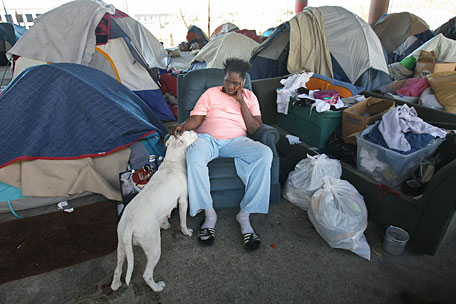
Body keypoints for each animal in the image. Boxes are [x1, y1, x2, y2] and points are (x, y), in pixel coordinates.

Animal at [110, 131, 198, 292]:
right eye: (188, 133)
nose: (195, 132)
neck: (172, 161)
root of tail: (129, 225)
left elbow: (164, 215)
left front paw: (165, 224)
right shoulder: (183, 200)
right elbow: (183, 221)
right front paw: (187, 232)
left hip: (122, 245)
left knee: (118, 269)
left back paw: (116, 284)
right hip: (154, 247)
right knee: (147, 274)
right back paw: (157, 287)